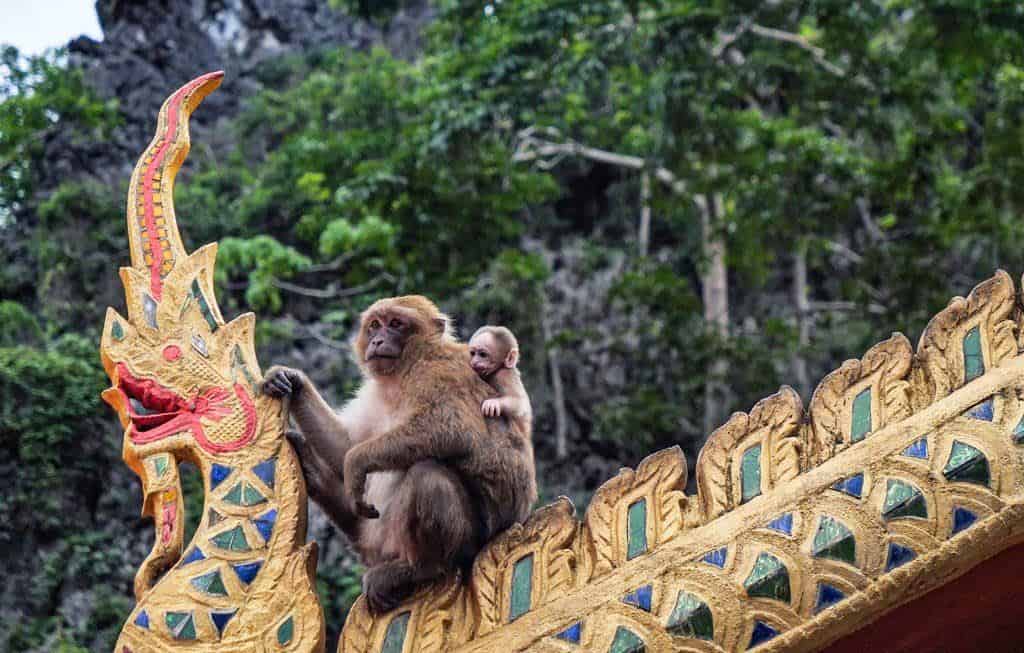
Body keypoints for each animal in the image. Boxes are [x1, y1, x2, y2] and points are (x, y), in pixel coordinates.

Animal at [262, 296, 537, 614]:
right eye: (375, 325)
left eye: (395, 324)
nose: (378, 340)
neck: (403, 372)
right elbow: (344, 446)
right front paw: (291, 381)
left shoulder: (439, 371)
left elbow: (454, 428)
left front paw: (356, 463)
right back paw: (309, 466)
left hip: (474, 540)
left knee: (428, 473)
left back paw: (423, 568)